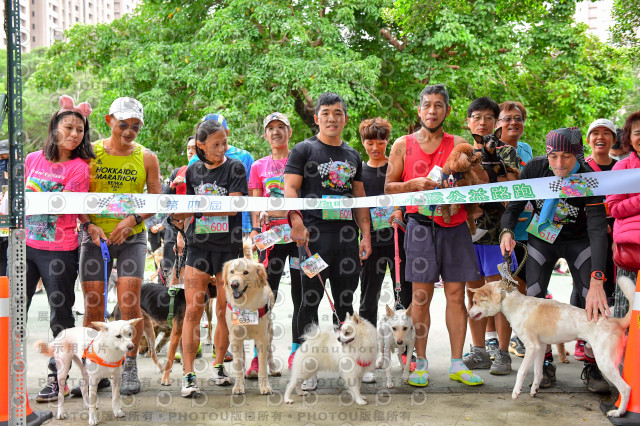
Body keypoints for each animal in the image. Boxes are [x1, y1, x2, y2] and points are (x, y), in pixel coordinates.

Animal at [221, 238, 278, 394]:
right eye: (232, 272)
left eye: (246, 272)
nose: (234, 284)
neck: (245, 305)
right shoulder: (235, 338)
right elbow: (238, 365)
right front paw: (238, 386)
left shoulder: (262, 338)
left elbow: (263, 367)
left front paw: (265, 386)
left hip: (270, 331)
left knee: (270, 353)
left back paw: (274, 369)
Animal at [464, 278, 636, 418]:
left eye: (476, 302)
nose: (467, 314)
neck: (508, 298)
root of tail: (616, 321)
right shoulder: (540, 348)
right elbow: (538, 372)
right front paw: (534, 390)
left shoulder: (532, 347)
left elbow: (521, 372)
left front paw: (516, 392)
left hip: (605, 362)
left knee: (626, 388)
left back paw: (619, 412)